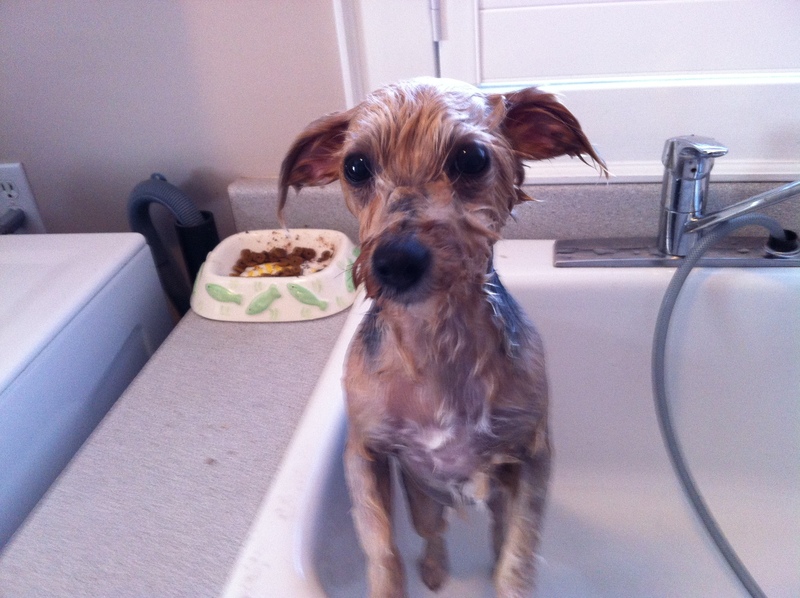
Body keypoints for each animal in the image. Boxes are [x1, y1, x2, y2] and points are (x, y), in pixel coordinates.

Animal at [278, 78, 605, 597]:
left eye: (472, 158)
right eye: (355, 166)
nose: (395, 260)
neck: (435, 340)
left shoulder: (532, 458)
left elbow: (519, 556)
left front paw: (511, 578)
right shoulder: (363, 454)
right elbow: (382, 550)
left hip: (498, 495)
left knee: (497, 536)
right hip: (424, 499)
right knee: (433, 534)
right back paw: (434, 571)